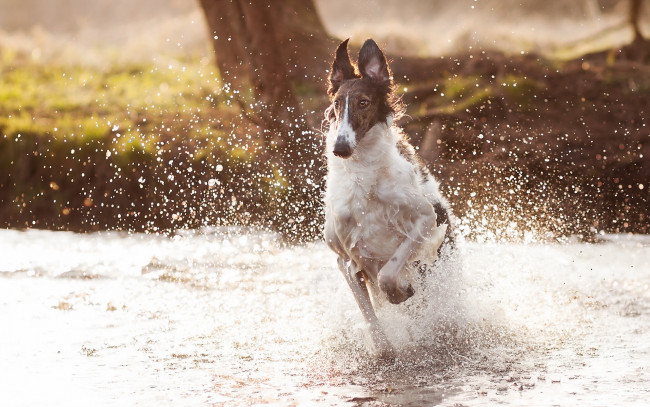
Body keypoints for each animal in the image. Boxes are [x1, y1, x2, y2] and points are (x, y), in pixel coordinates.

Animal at [322, 38, 454, 356]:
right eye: (336, 104)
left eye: (363, 102)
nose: (340, 148)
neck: (364, 178)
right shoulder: (345, 258)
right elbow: (369, 313)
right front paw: (383, 348)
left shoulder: (424, 220)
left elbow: (389, 274)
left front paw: (400, 291)